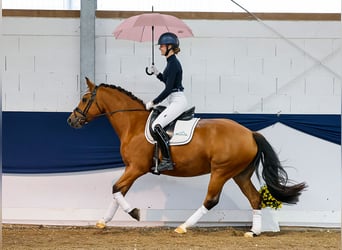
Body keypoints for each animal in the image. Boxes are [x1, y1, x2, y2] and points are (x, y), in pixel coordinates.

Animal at [67, 77, 308, 236]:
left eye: (85, 98)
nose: (71, 120)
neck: (133, 125)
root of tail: (250, 133)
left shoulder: (136, 168)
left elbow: (116, 189)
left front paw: (134, 213)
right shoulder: (131, 169)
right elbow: (118, 192)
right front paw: (103, 221)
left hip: (221, 171)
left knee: (211, 200)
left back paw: (182, 227)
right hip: (239, 174)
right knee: (255, 198)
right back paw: (254, 232)